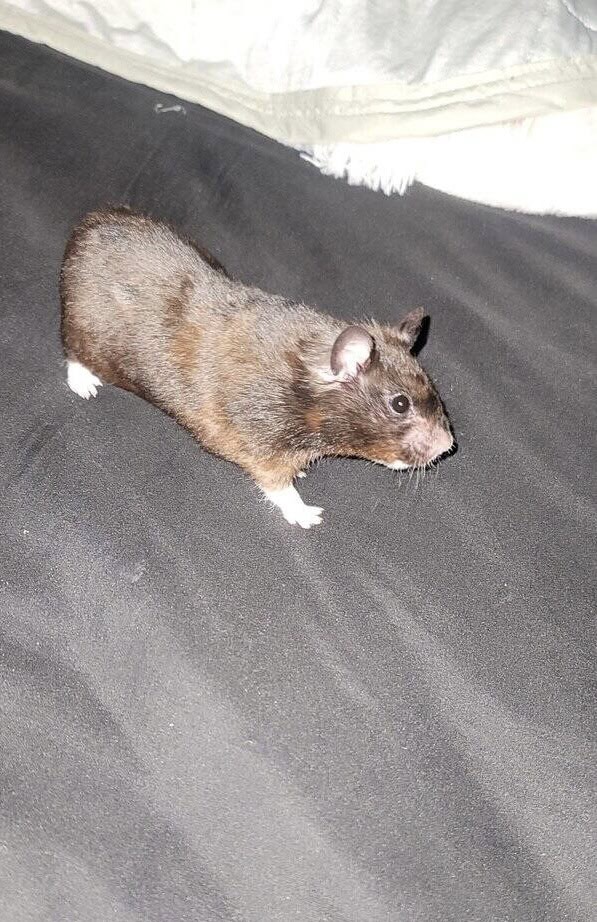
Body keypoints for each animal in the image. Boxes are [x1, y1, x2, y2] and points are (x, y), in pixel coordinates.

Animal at [60, 207, 454, 528]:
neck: (307, 384)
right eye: (400, 404)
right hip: (83, 327)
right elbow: (277, 484)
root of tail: (86, 225)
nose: (448, 446)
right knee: (72, 352)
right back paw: (85, 384)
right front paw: (309, 515)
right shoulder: (261, 441)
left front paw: (303, 475)